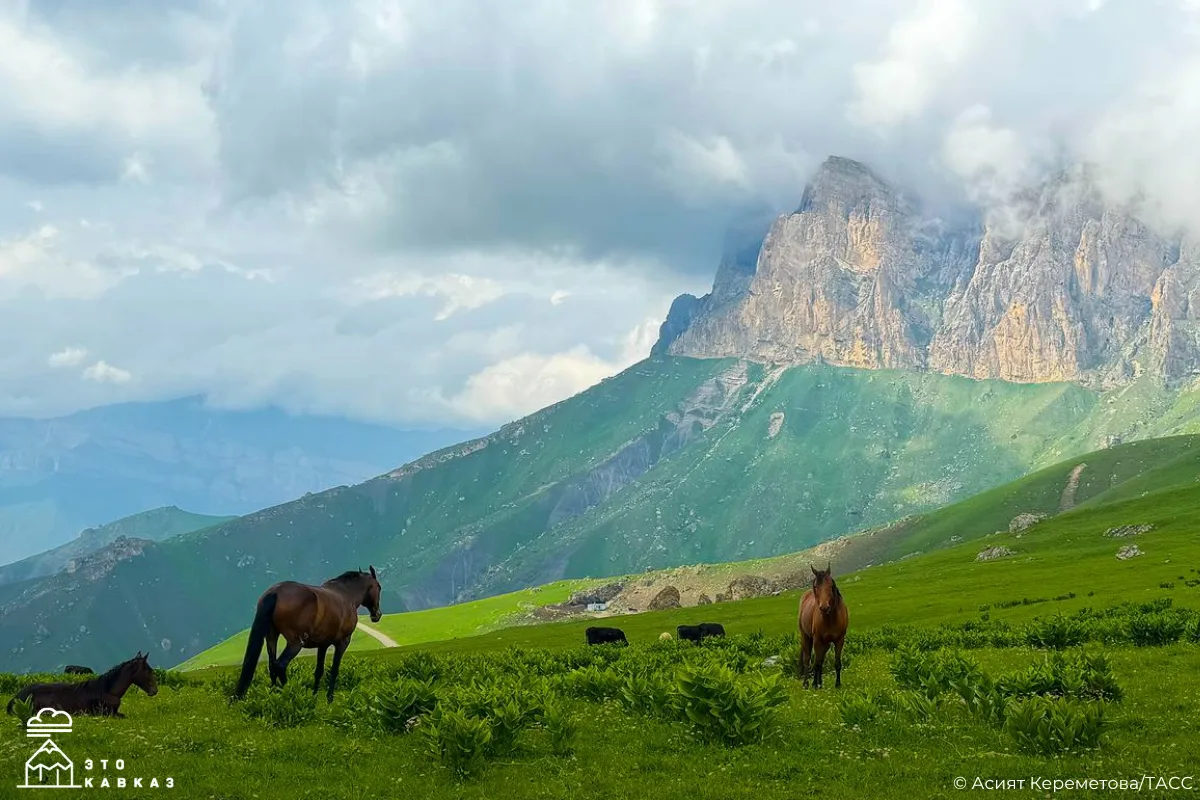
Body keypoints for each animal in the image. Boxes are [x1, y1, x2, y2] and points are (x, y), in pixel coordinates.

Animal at [233, 566, 382, 703]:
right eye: (379, 587)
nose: (377, 614)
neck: (347, 596)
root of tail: (275, 592)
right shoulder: (342, 643)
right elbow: (334, 670)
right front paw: (329, 699)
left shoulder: (323, 645)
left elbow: (319, 671)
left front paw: (314, 697)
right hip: (295, 643)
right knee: (280, 665)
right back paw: (290, 693)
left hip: (271, 637)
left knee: (272, 665)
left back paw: (274, 693)